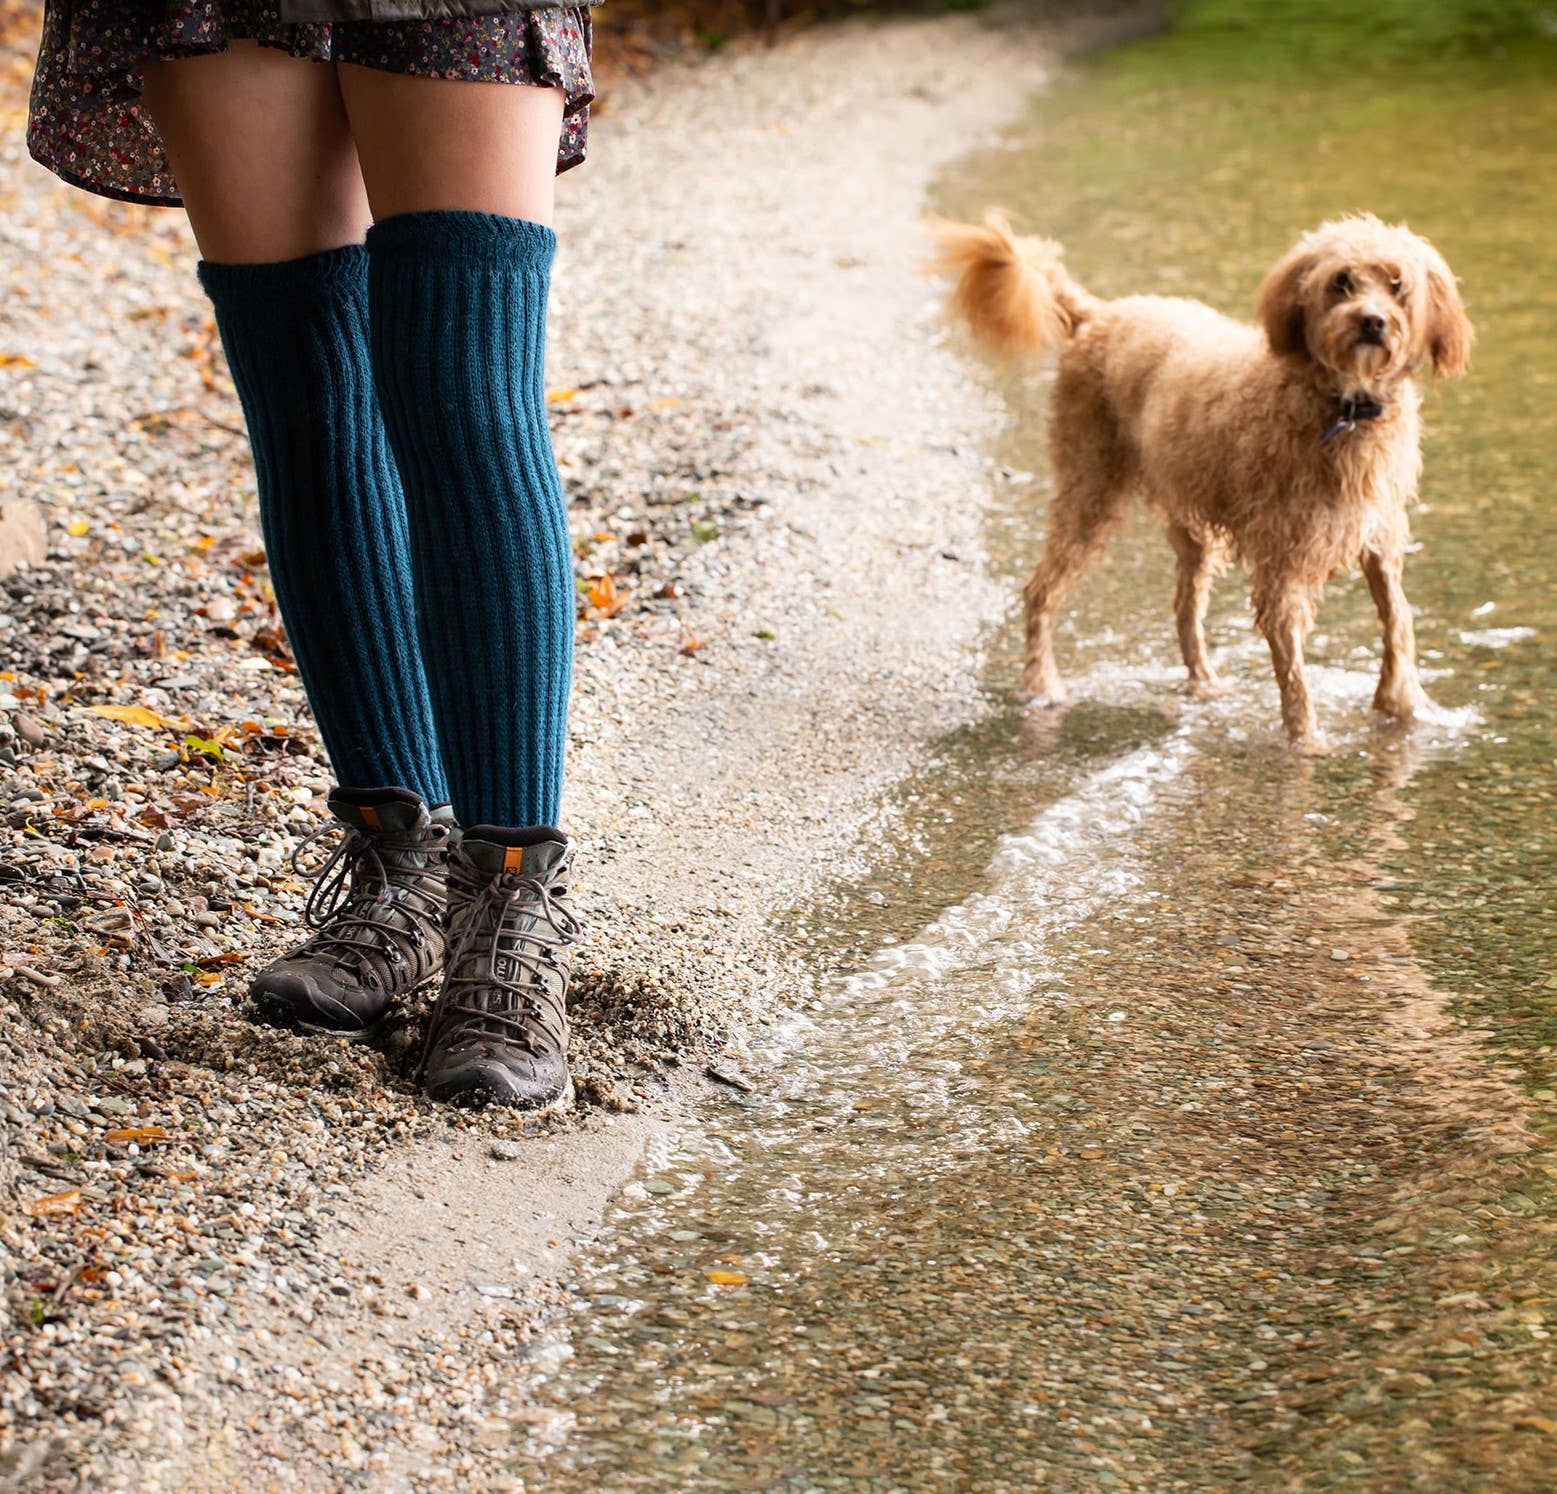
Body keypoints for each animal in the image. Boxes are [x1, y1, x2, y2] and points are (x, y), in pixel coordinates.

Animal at [927, 210, 1476, 747]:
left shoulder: (1379, 536)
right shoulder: (1282, 564)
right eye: (1341, 281)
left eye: (1398, 285)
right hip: (1089, 492)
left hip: (1191, 530)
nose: (1372, 321)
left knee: (1185, 608)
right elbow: (1294, 668)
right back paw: (1041, 685)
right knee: (1040, 592)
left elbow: (1398, 622)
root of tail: (1099, 315)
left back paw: (1203, 683)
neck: (1344, 408)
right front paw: (1305, 740)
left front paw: (1403, 707)